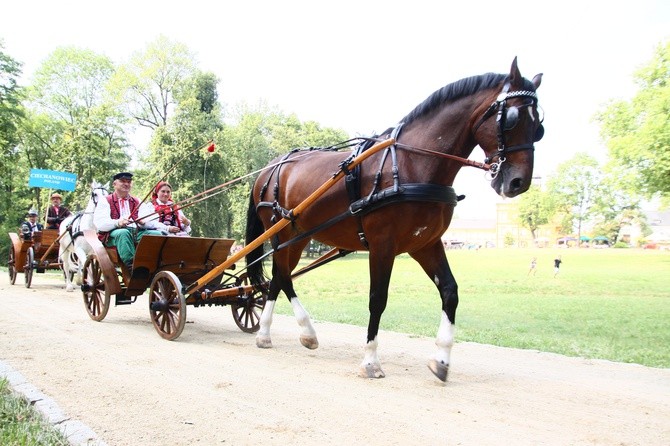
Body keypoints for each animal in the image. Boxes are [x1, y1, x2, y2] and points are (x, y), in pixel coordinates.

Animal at [244, 57, 544, 382]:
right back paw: (298, 330)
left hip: (300, 235)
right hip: (281, 233)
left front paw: (441, 359)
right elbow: (378, 298)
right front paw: (370, 361)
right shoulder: (382, 244)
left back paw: (273, 333)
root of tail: (270, 167)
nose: (518, 182)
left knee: (279, 277)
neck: (413, 164)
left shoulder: (425, 243)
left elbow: (450, 292)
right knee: (283, 276)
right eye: (512, 118)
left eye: (538, 126)